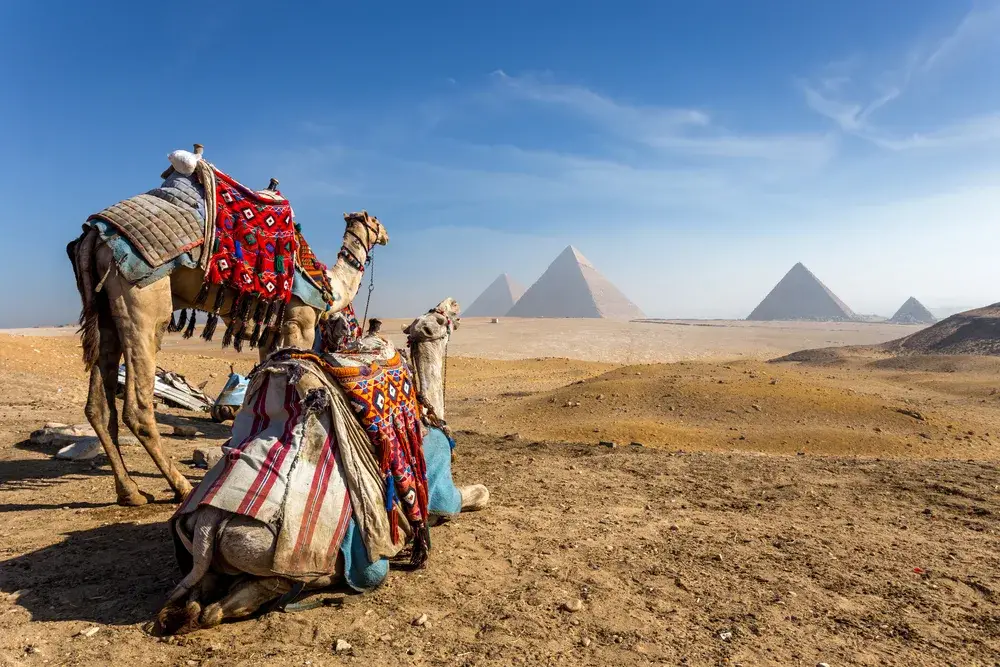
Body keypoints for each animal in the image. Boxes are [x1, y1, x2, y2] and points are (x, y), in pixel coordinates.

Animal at [69, 159, 386, 506]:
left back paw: (130, 492)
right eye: (376, 221)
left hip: (104, 309)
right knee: (137, 406)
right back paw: (181, 487)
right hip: (142, 296)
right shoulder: (299, 322)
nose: (385, 235)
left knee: (98, 405)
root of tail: (93, 236)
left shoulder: (272, 334)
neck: (330, 285)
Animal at [154, 298, 486, 636]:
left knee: (200, 594)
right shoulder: (441, 490)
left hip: (203, 552)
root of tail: (208, 521)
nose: (452, 304)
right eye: (440, 319)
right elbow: (477, 494)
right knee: (244, 598)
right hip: (278, 555)